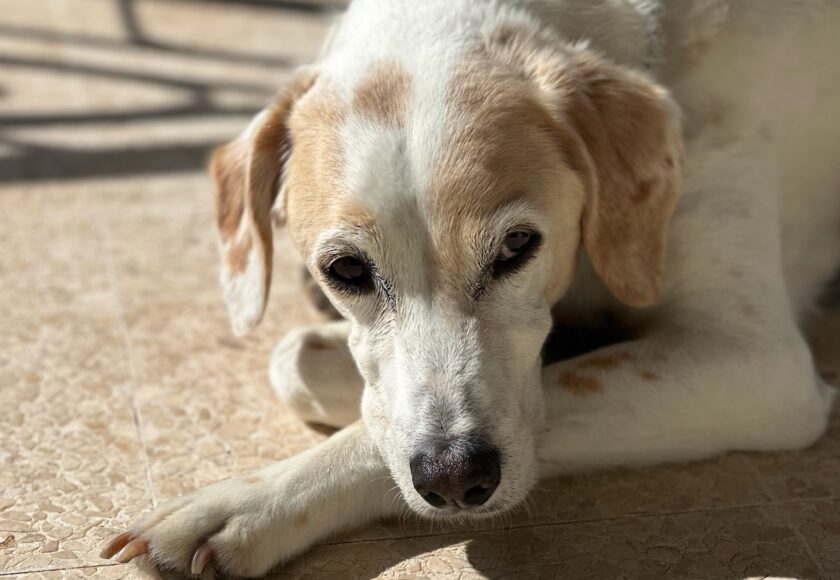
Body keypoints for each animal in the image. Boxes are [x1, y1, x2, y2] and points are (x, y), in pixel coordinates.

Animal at [100, 0, 840, 576]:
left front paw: (245, 505)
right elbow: (299, 363)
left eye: (518, 246)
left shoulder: (754, 364)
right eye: (346, 270)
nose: (455, 478)